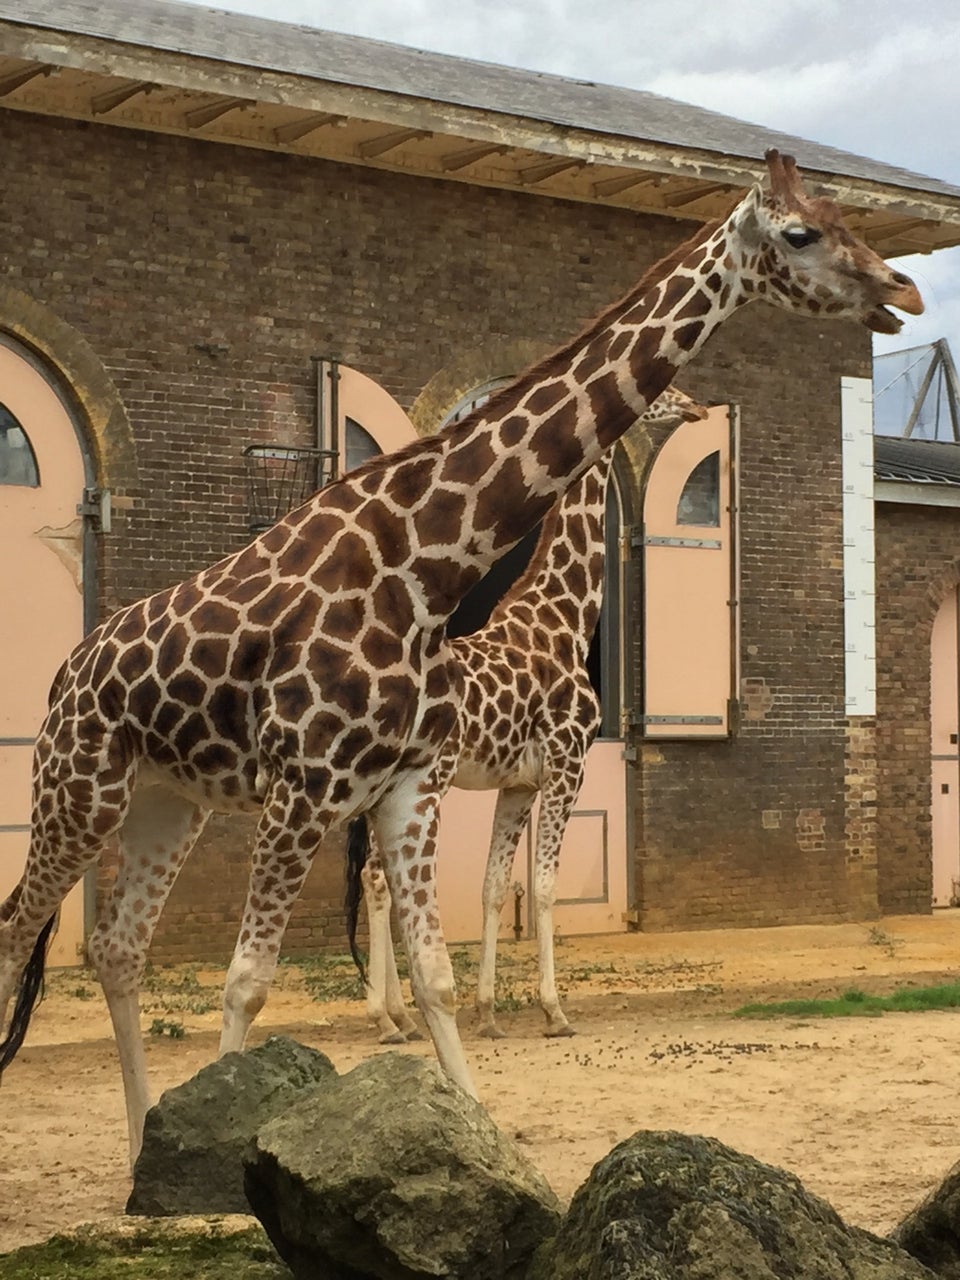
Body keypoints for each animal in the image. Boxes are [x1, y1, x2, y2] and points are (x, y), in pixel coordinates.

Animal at [358, 381, 711, 1039]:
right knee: (378, 879)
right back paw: (387, 1019)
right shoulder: (568, 766)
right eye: (665, 393)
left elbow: (496, 887)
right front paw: (554, 1010)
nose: (696, 407)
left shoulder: (518, 784)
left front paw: (488, 1011)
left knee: (380, 879)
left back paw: (400, 1015)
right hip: (423, 784)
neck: (564, 617)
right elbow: (545, 888)